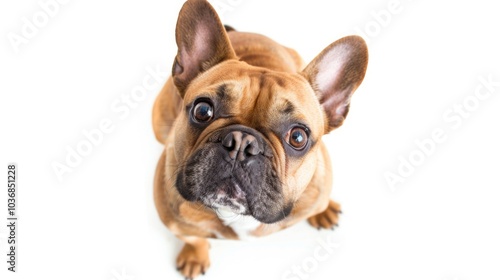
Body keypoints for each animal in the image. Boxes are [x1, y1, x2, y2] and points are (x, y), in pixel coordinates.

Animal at [151, 1, 368, 278]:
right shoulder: (175, 223)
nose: (241, 143)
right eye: (202, 110)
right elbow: (194, 238)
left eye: (298, 137)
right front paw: (195, 255)